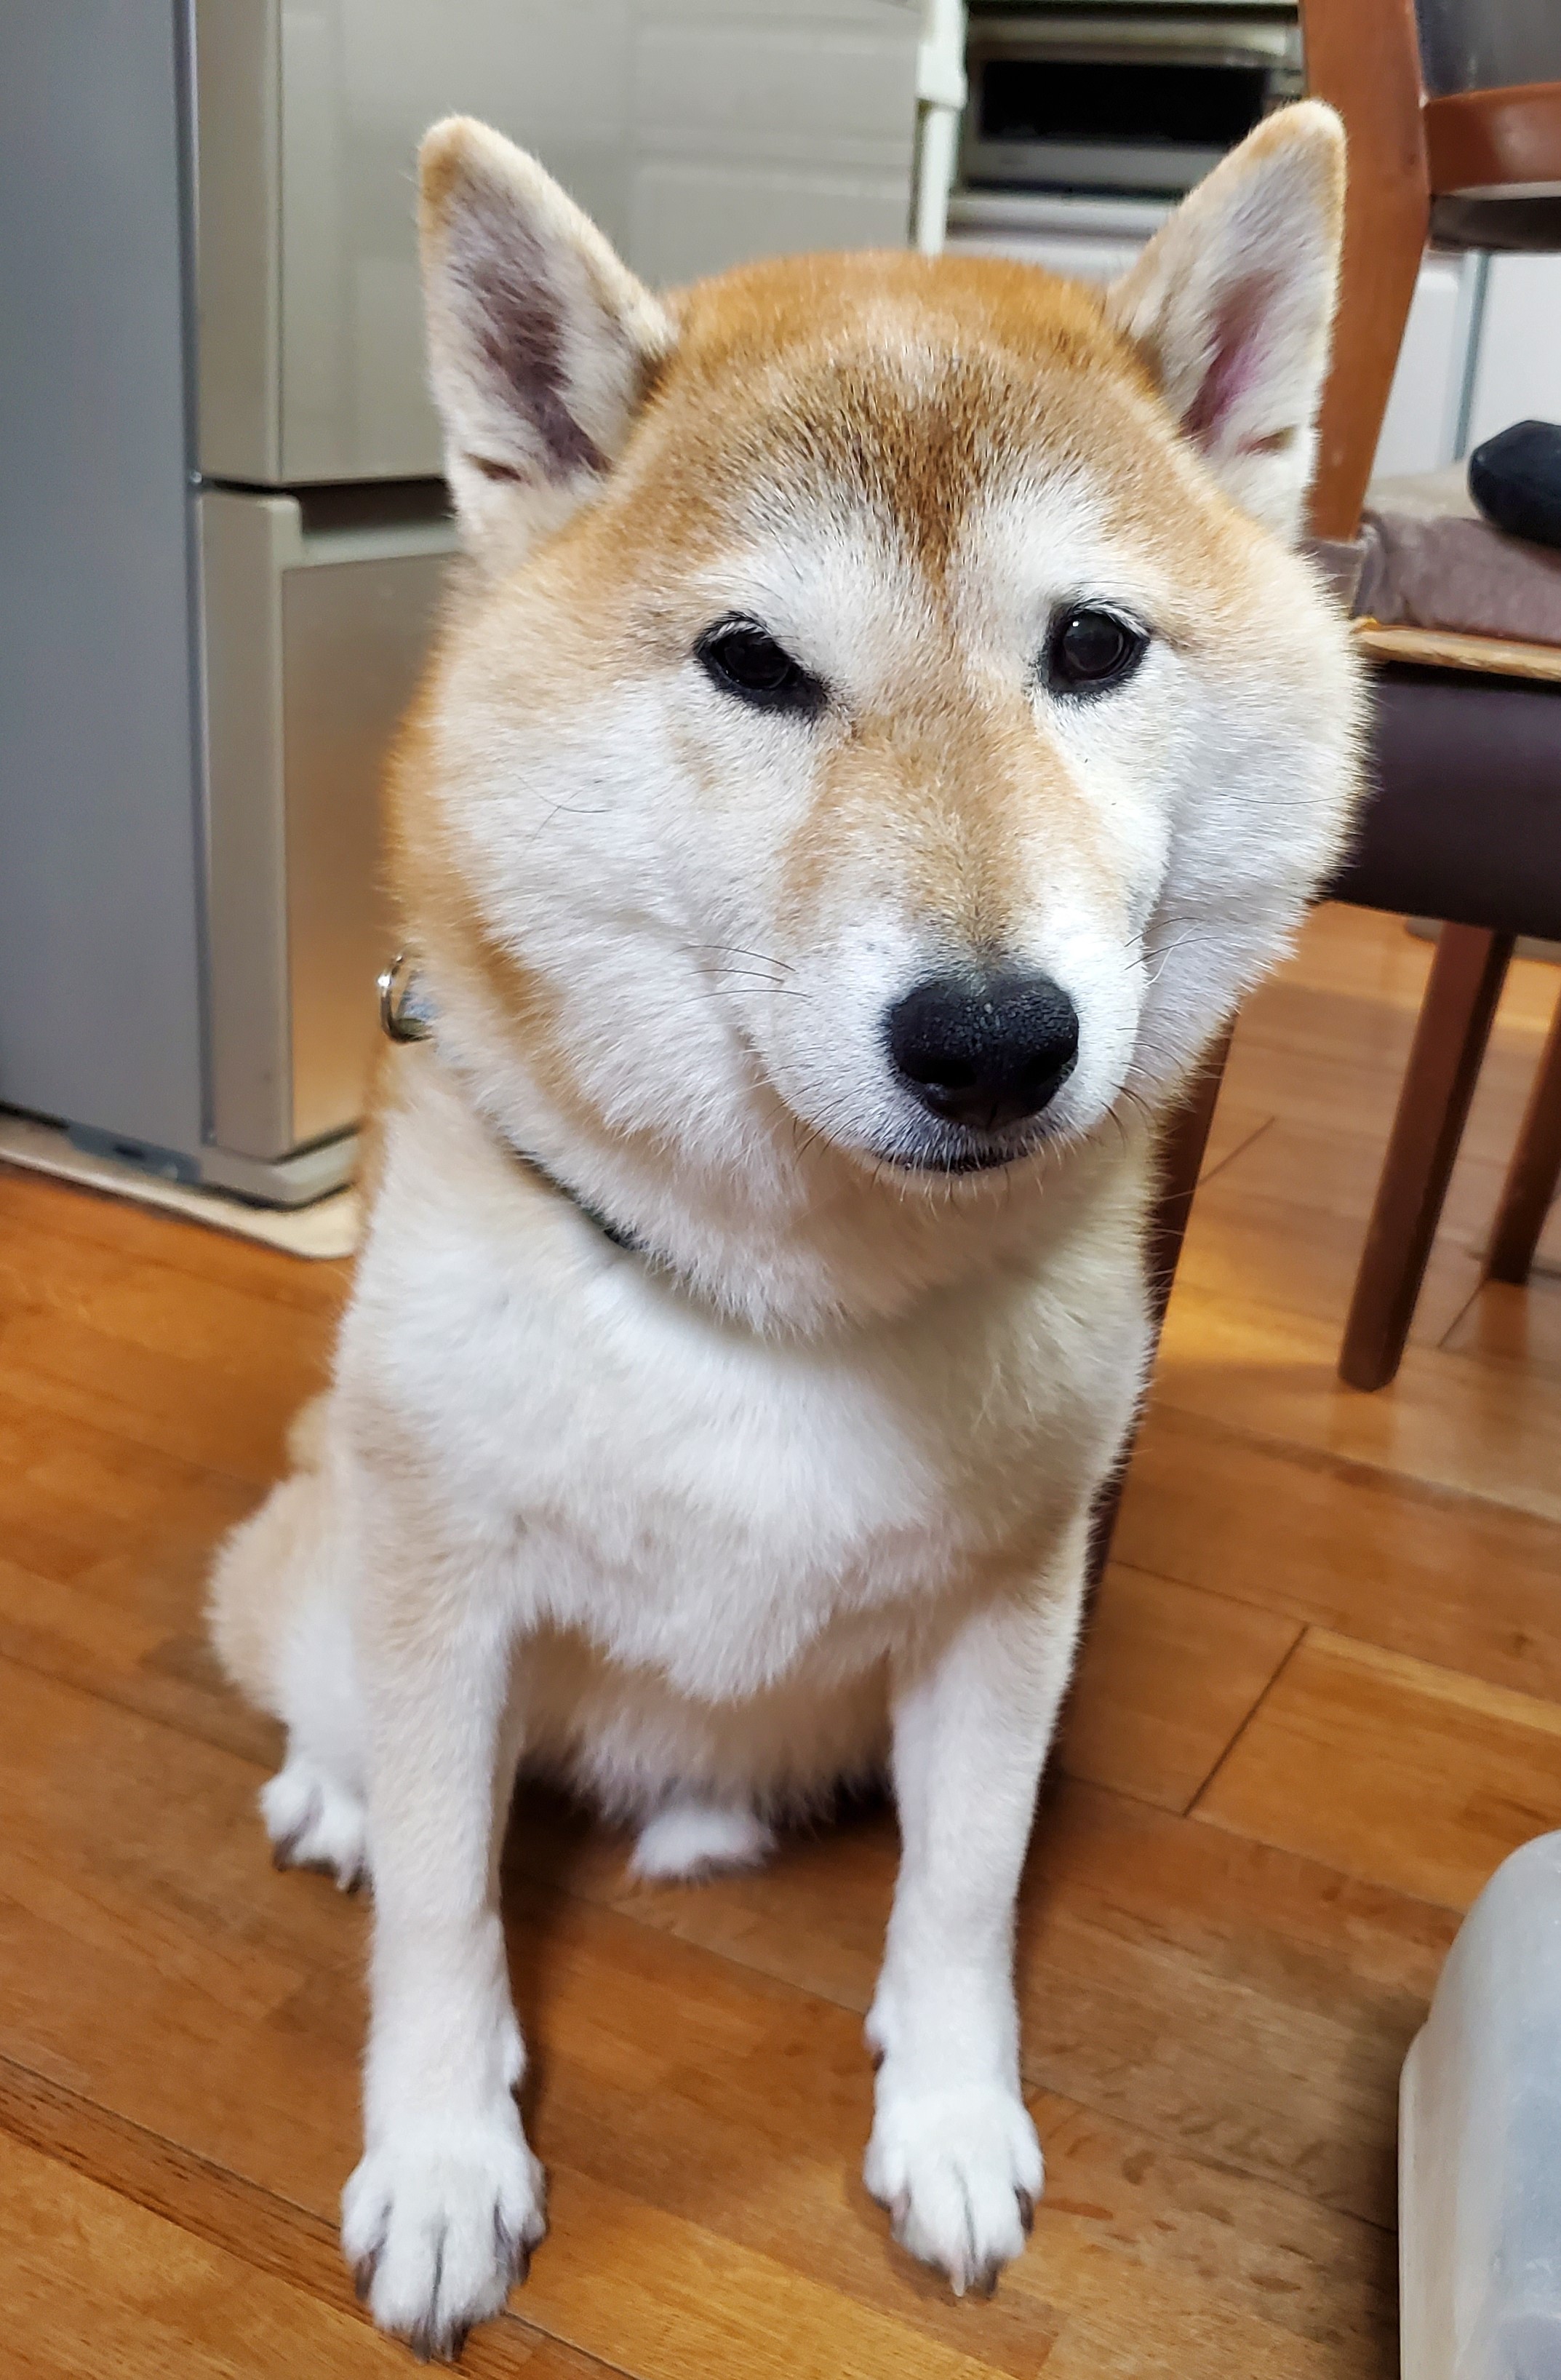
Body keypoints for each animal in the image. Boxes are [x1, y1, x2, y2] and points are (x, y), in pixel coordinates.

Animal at [210, 99, 1361, 2358]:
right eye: (754, 665)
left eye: (1089, 646)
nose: (995, 1039)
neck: (790, 1294)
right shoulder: (449, 1588)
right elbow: (449, 1921)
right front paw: (446, 2154)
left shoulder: (1014, 1605)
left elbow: (964, 1894)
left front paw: (950, 2115)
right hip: (347, 1544)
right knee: (339, 1705)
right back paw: (334, 1794)